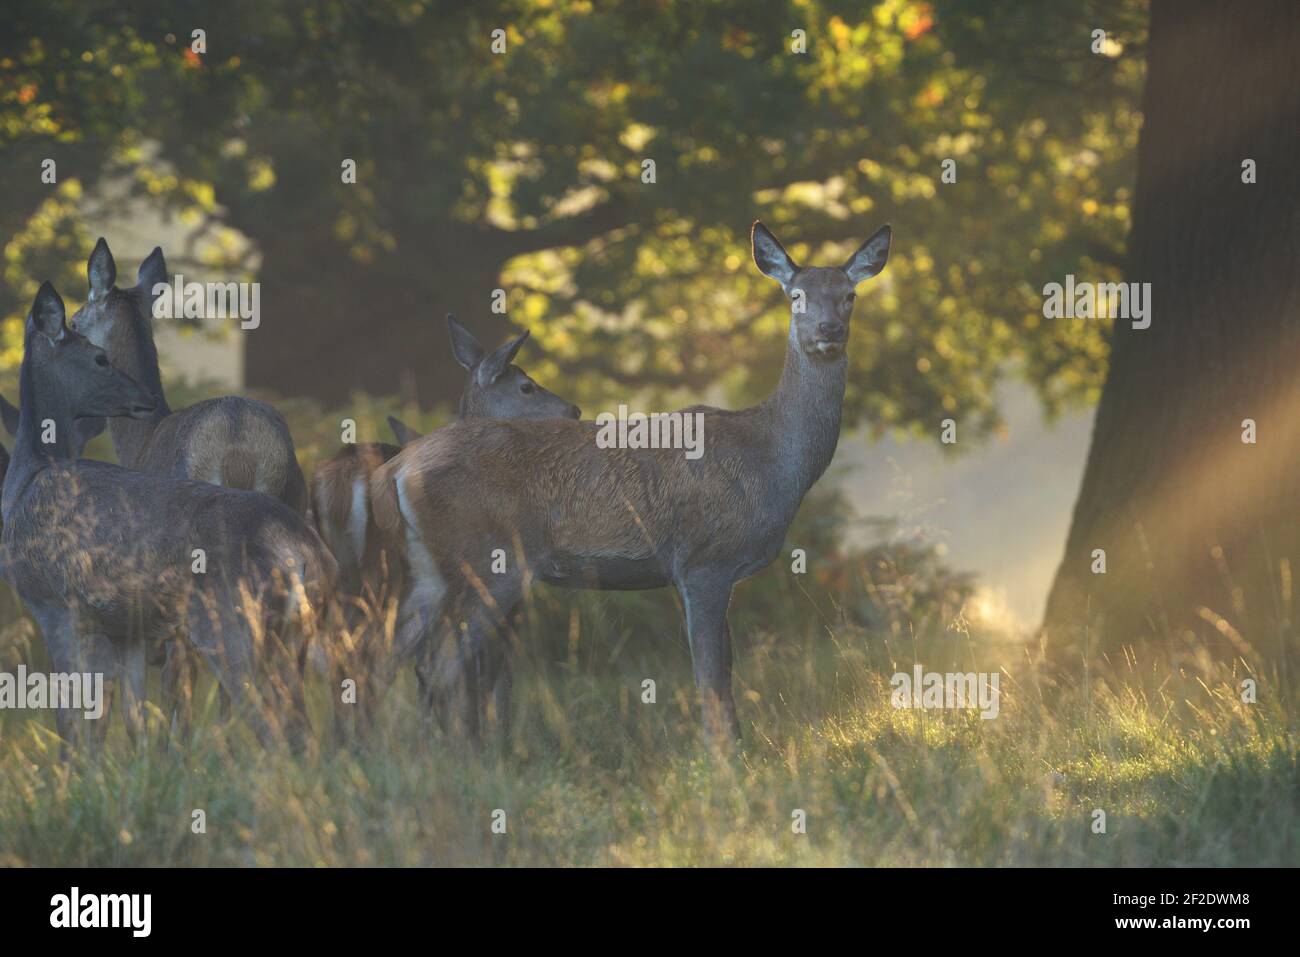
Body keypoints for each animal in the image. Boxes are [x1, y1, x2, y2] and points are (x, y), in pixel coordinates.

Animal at [2, 283, 338, 748]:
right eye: (99, 358)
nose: (143, 398)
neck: (26, 480)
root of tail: (303, 552)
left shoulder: (54, 603)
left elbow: (71, 722)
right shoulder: (123, 627)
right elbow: (128, 716)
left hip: (231, 625)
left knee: (267, 721)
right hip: (295, 632)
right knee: (301, 728)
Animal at [371, 222, 889, 738]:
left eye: (849, 295)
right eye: (796, 295)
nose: (829, 331)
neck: (774, 461)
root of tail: (396, 469)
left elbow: (724, 673)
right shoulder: (704, 560)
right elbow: (711, 680)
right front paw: (723, 753)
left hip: (433, 574)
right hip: (490, 561)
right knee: (438, 664)